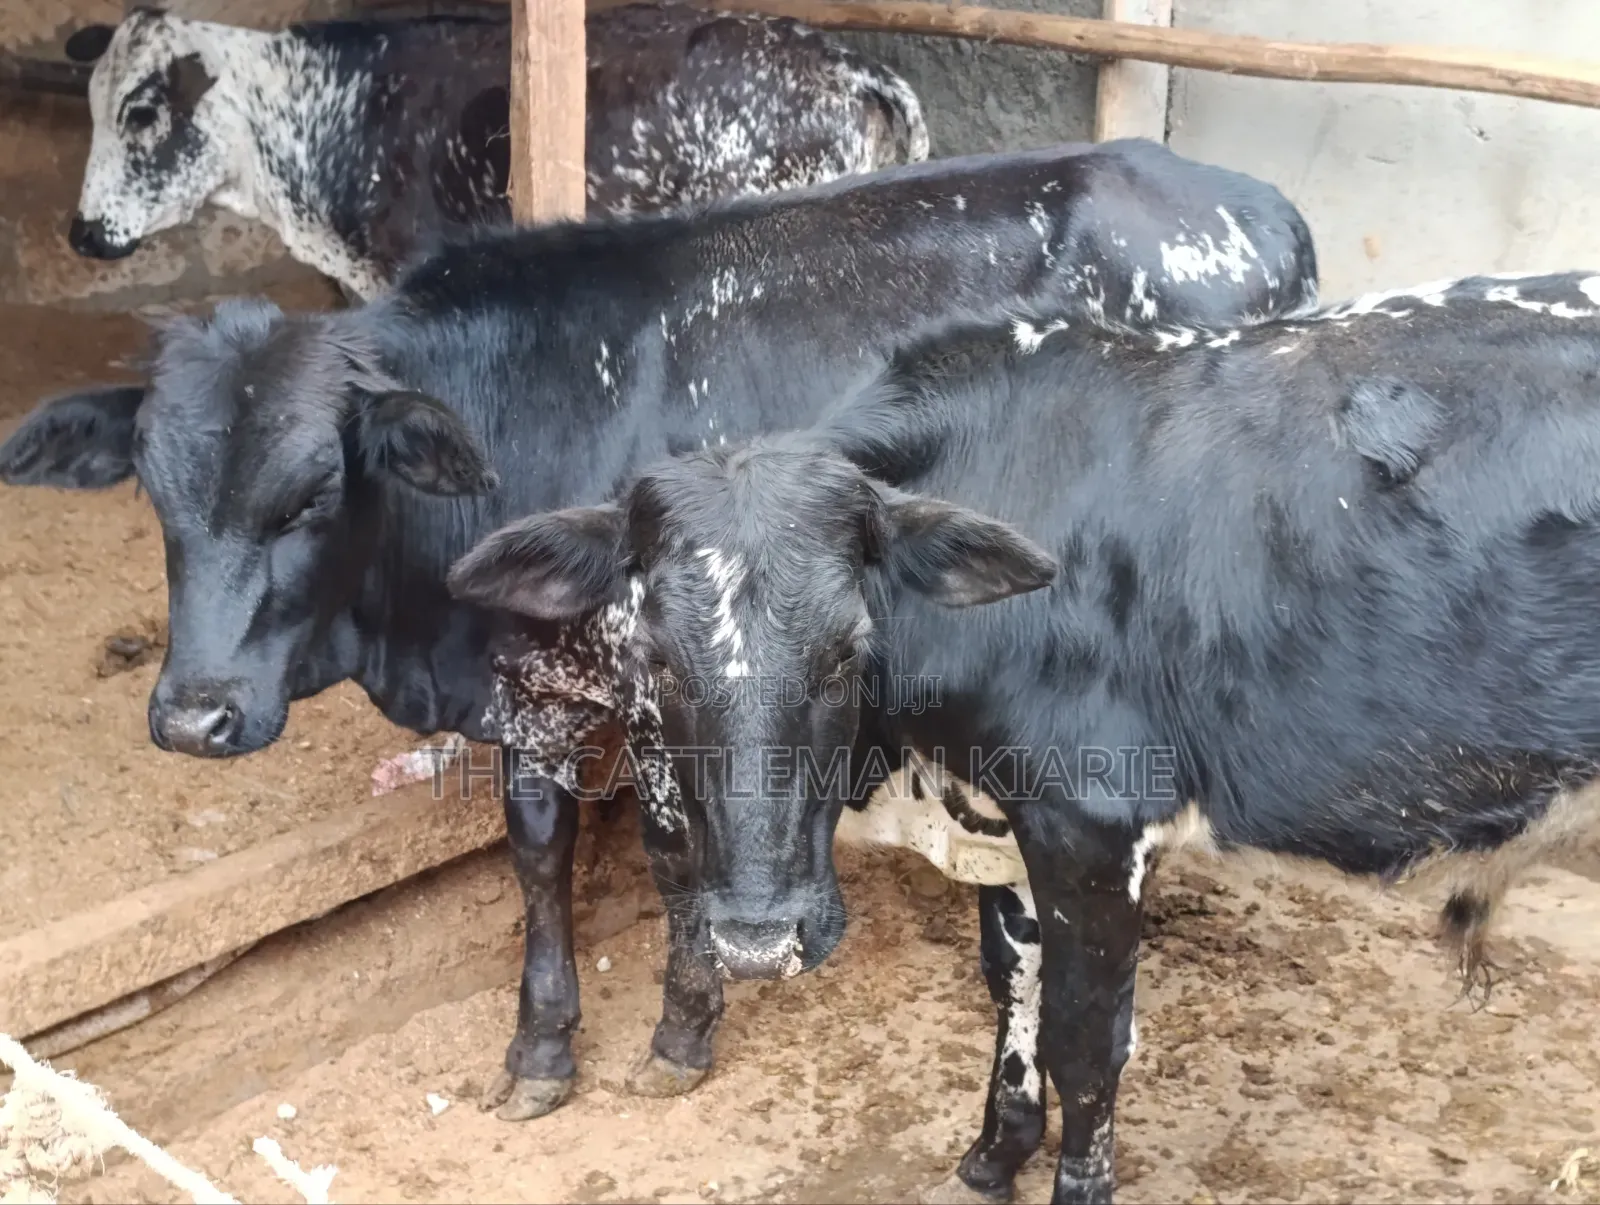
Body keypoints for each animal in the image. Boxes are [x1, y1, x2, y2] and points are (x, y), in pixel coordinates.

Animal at [0, 140, 1317, 1150]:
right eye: (152, 488)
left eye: (314, 489)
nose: (195, 715)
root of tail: (1252, 203)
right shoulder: (532, 691)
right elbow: (538, 856)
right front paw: (540, 1048)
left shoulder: (658, 688)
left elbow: (679, 857)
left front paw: (682, 1027)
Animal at [445, 271, 1600, 1203]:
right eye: (654, 652)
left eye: (848, 645)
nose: (757, 938)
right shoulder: (1004, 825)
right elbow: (1013, 995)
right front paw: (993, 1153)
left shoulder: (1095, 826)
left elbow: (1084, 1043)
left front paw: (1074, 1179)